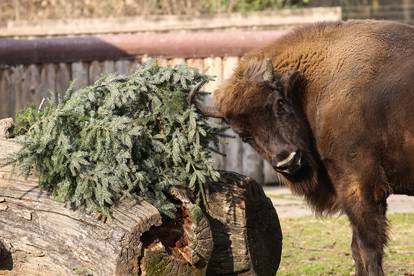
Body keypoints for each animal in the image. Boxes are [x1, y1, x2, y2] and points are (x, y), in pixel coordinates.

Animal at [190, 20, 414, 276]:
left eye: (279, 103)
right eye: (244, 135)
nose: (288, 161)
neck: (315, 88)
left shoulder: (361, 187)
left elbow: (368, 249)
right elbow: (357, 249)